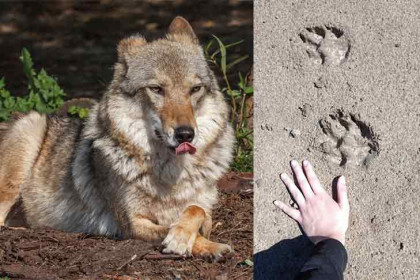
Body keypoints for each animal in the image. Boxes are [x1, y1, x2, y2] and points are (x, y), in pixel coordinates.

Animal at [0, 16, 236, 260]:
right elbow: (177, 230)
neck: (170, 174)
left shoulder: (204, 213)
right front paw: (185, 241)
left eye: (195, 89)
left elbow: (196, 210)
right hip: (30, 130)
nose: (185, 134)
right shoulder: (133, 223)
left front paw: (200, 241)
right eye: (156, 89)